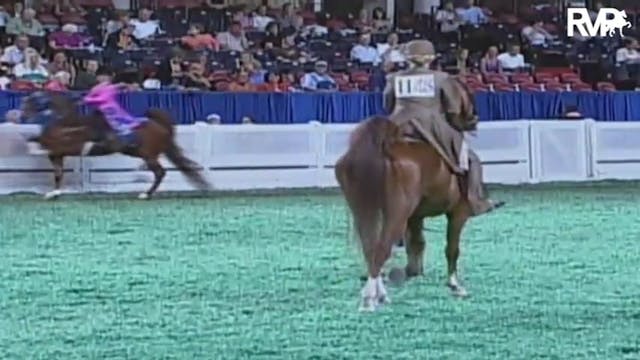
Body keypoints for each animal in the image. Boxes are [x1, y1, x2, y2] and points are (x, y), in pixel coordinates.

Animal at [19, 91, 210, 200]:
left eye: (30, 102)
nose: (22, 116)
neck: (65, 124)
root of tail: (160, 126)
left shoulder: (65, 148)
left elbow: (41, 146)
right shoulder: (57, 154)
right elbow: (57, 173)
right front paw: (54, 193)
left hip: (148, 155)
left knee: (160, 173)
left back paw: (145, 194)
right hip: (140, 152)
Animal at [336, 77, 484, 310]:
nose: (473, 120)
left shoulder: (415, 217)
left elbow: (417, 244)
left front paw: (414, 272)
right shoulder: (458, 214)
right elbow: (452, 248)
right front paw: (455, 285)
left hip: (364, 211)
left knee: (371, 249)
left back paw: (378, 294)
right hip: (396, 215)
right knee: (381, 249)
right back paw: (370, 299)